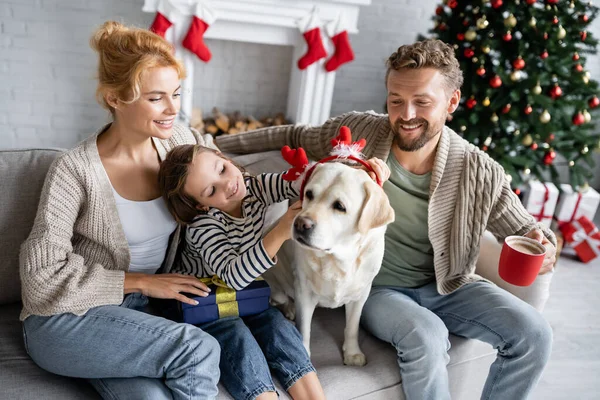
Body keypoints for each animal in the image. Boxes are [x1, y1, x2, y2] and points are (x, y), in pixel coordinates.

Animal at [264, 162, 396, 366]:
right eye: (309, 194)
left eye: (339, 206)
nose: (300, 223)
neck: (337, 259)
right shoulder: (304, 292)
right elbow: (304, 330)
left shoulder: (361, 294)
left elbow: (352, 326)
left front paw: (352, 353)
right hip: (275, 284)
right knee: (280, 298)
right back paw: (290, 308)